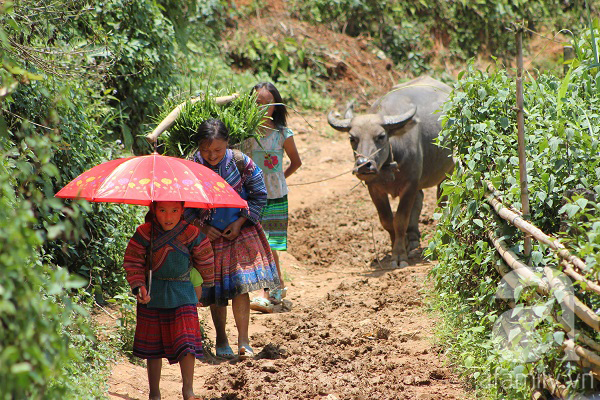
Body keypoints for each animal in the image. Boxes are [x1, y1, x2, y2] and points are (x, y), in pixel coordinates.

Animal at [328, 76, 454, 268]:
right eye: (352, 138)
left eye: (381, 136)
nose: (364, 165)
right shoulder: (374, 188)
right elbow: (387, 220)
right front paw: (397, 247)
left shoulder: (410, 184)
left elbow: (400, 219)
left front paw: (400, 255)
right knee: (419, 200)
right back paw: (413, 238)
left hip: (448, 172)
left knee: (442, 202)